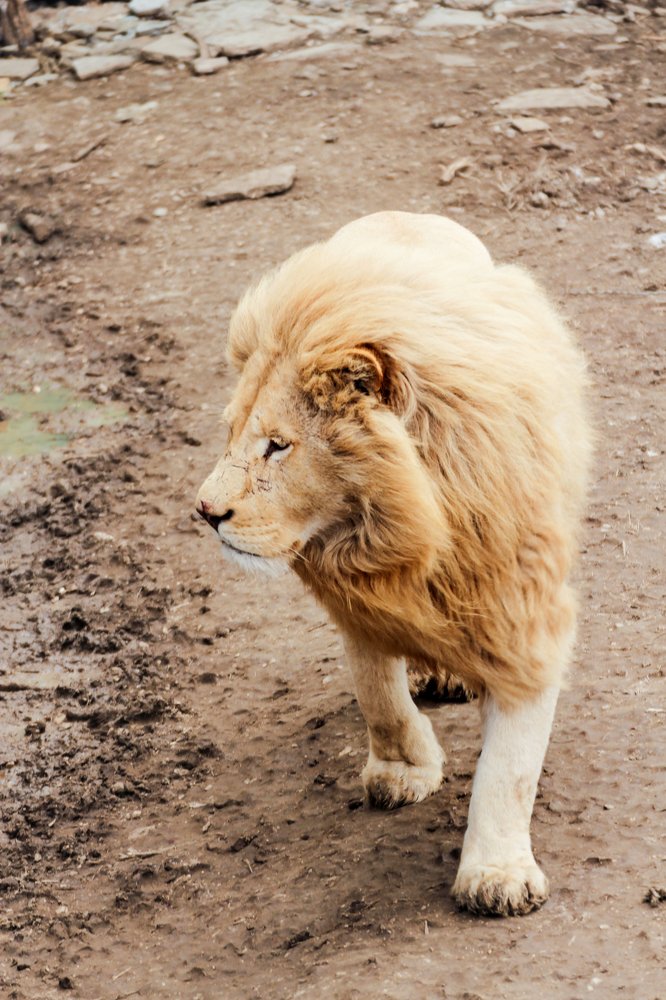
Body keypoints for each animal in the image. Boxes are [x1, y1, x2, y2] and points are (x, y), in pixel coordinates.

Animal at [196, 212, 591, 917]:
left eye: (278, 445)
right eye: (234, 433)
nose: (205, 511)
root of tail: (408, 216)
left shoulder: (522, 607)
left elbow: (510, 767)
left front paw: (496, 877)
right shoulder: (357, 599)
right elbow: (377, 694)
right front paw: (404, 770)